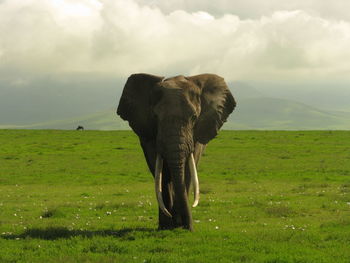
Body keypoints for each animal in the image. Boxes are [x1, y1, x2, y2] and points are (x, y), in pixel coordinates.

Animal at [117, 73, 235, 231]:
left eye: (194, 117)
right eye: (155, 117)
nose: (189, 227)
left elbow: (189, 169)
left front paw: (183, 225)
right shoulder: (150, 135)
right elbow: (160, 171)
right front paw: (167, 226)